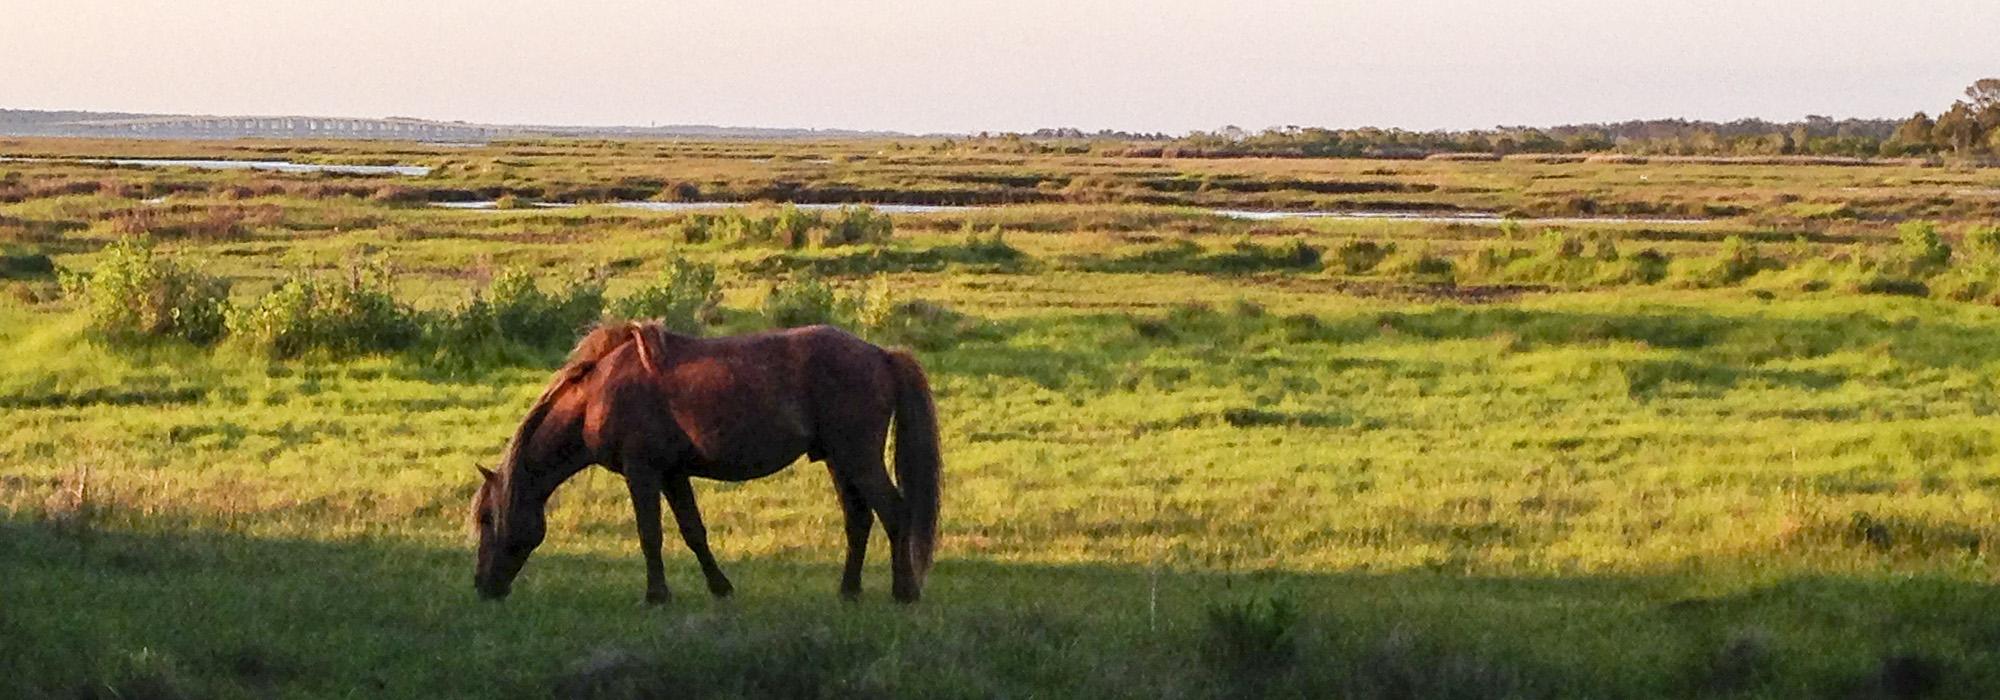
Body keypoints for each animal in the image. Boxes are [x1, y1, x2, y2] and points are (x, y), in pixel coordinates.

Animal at [472, 322, 940, 600]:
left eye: (486, 518)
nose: (482, 586)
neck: (596, 395)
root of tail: (881, 354)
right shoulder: (672, 474)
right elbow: (693, 532)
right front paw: (720, 588)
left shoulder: (642, 472)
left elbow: (650, 535)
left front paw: (656, 596)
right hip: (839, 461)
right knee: (858, 520)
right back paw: (848, 591)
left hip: (858, 458)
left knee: (895, 513)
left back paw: (904, 592)